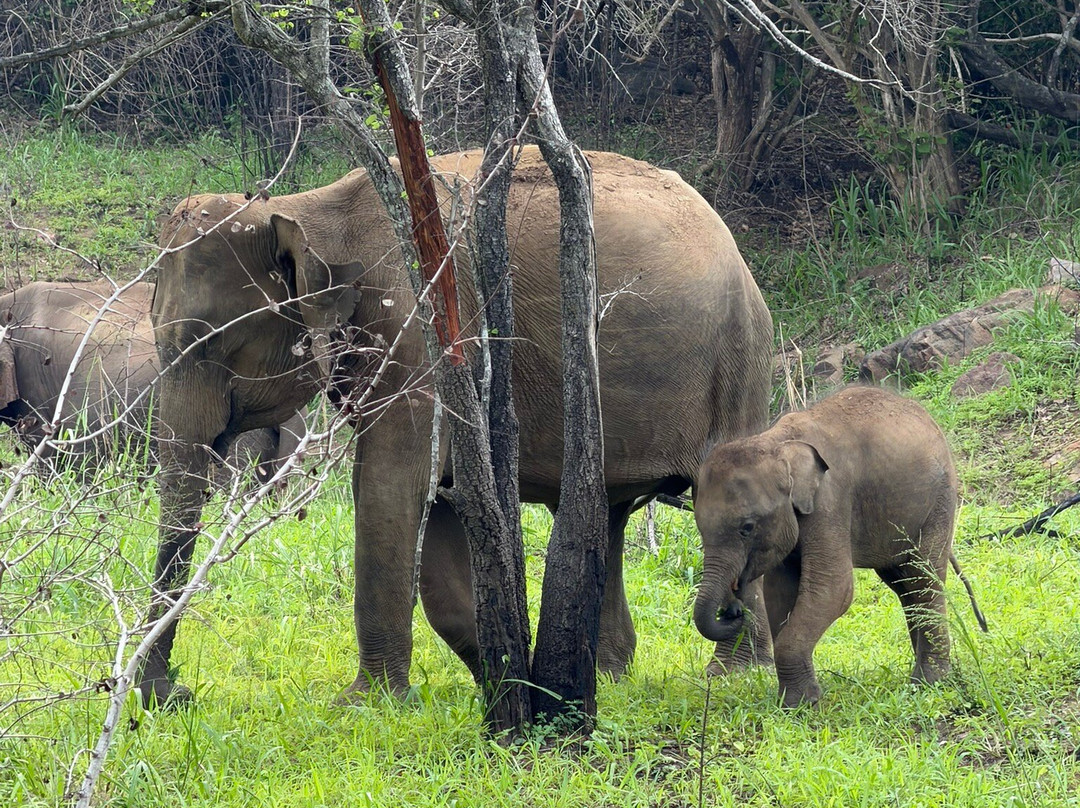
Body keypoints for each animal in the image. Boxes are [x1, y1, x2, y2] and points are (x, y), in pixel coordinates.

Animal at [139, 145, 775, 707]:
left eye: (206, 343)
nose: (172, 697)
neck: (309, 207)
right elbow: (441, 502)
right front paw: (509, 679)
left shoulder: (419, 333)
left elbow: (391, 488)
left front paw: (366, 703)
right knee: (609, 512)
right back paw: (615, 675)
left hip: (739, 367)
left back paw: (734, 675)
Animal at [693, 385, 986, 707]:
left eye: (747, 528)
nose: (733, 610)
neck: (775, 442)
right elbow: (780, 592)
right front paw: (796, 703)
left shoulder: (830, 500)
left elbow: (833, 589)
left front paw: (800, 705)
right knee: (906, 585)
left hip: (940, 500)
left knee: (924, 579)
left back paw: (928, 682)